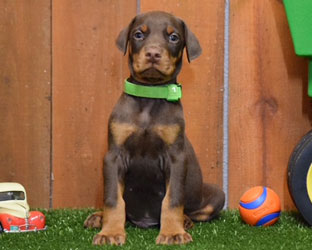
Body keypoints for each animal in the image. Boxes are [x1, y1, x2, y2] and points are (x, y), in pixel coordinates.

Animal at [83, 10, 224, 245]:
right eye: (138, 34)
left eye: (174, 37)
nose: (153, 54)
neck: (149, 96)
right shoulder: (114, 156)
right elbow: (113, 199)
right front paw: (110, 232)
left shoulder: (176, 158)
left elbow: (173, 199)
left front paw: (173, 232)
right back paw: (98, 217)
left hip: (216, 194)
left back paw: (185, 221)